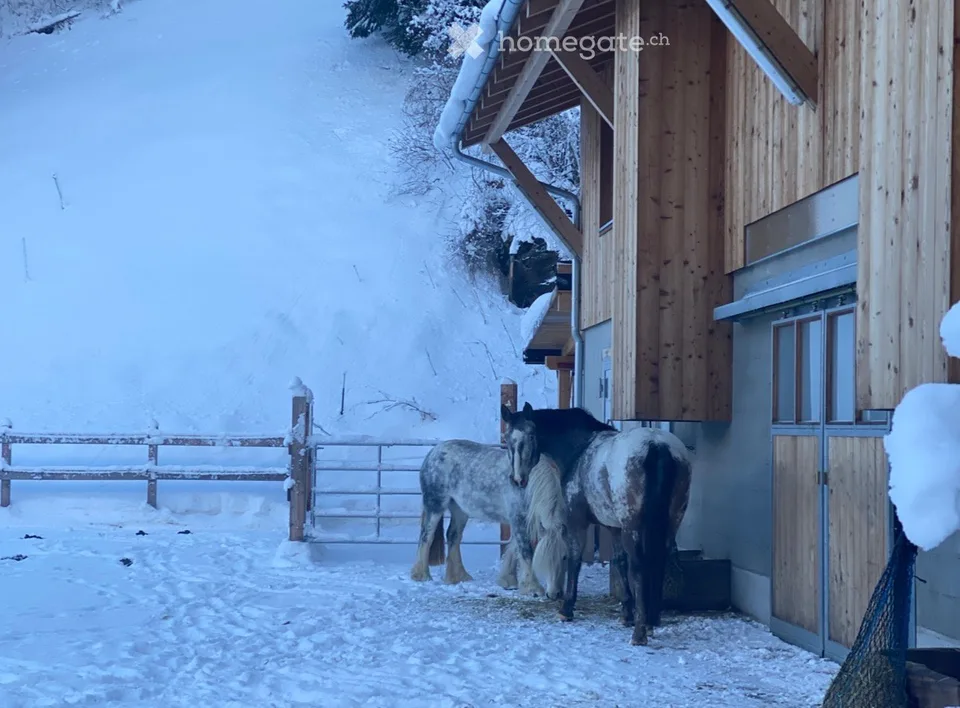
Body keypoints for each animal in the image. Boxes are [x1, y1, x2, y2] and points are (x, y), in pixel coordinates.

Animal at [409, 439, 568, 599]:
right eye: (544, 560)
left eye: (564, 557)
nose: (555, 594)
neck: (529, 485)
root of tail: (434, 451)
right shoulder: (518, 519)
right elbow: (525, 551)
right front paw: (532, 588)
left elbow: (513, 548)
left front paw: (508, 581)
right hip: (435, 505)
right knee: (426, 536)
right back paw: (421, 575)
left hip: (460, 509)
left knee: (453, 536)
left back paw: (458, 576)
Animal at [500, 403, 692, 645]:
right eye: (508, 438)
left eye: (531, 435)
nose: (518, 479)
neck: (581, 449)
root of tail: (656, 444)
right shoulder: (614, 527)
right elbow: (618, 562)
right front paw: (626, 613)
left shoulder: (577, 522)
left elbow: (575, 558)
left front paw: (566, 609)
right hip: (671, 521)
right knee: (658, 561)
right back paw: (650, 621)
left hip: (633, 527)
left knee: (639, 567)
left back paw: (639, 632)